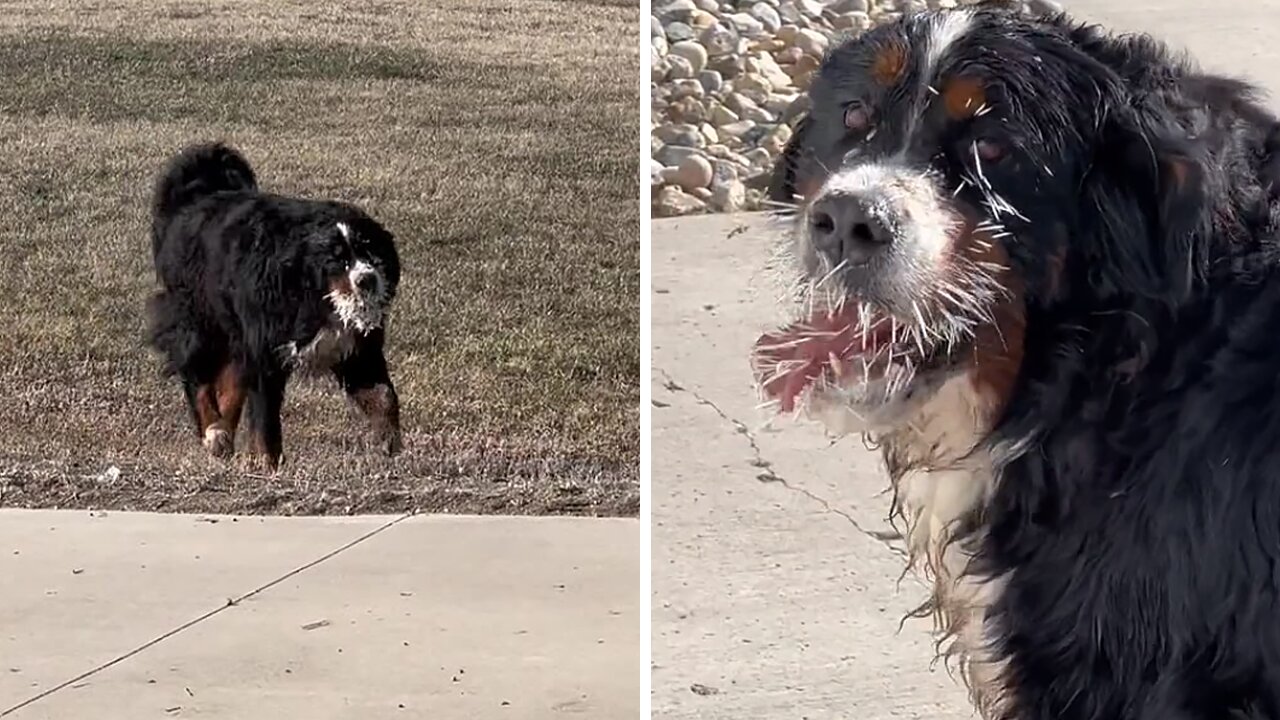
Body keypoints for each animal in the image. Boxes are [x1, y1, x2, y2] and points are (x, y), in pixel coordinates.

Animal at [145, 142, 404, 468]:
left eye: (372, 252)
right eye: (337, 260)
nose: (367, 280)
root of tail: (196, 199)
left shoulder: (358, 351)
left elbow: (384, 399)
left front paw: (393, 451)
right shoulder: (266, 352)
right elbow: (266, 421)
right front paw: (267, 465)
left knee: (230, 385)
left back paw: (224, 437)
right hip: (199, 323)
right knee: (197, 377)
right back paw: (213, 432)